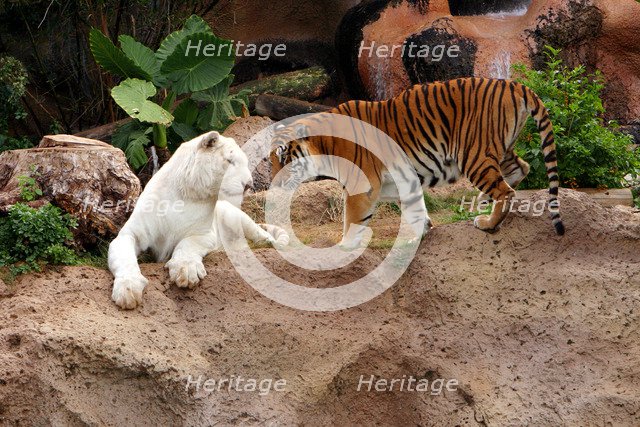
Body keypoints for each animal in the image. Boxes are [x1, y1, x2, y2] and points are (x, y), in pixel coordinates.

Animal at [270, 77, 564, 248]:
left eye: (283, 158)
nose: (273, 182)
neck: (323, 145)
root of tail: (514, 84)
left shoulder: (362, 186)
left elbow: (352, 220)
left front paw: (344, 247)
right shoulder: (401, 180)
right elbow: (415, 208)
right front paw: (422, 231)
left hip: (472, 153)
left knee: (506, 190)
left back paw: (487, 223)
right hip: (498, 150)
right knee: (521, 168)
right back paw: (483, 200)